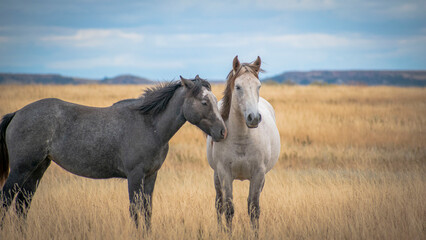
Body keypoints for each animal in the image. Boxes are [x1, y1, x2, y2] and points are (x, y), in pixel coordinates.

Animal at [0, 76, 226, 230]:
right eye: (204, 102)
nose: (223, 131)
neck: (149, 125)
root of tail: (17, 113)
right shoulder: (135, 176)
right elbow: (135, 210)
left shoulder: (151, 176)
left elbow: (147, 210)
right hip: (21, 169)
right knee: (6, 199)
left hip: (38, 168)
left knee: (22, 203)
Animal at [206, 56, 280, 232]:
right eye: (238, 87)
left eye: (258, 86)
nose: (254, 118)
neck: (242, 139)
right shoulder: (224, 173)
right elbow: (228, 209)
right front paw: (228, 233)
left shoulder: (259, 174)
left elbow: (253, 209)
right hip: (216, 176)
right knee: (219, 204)